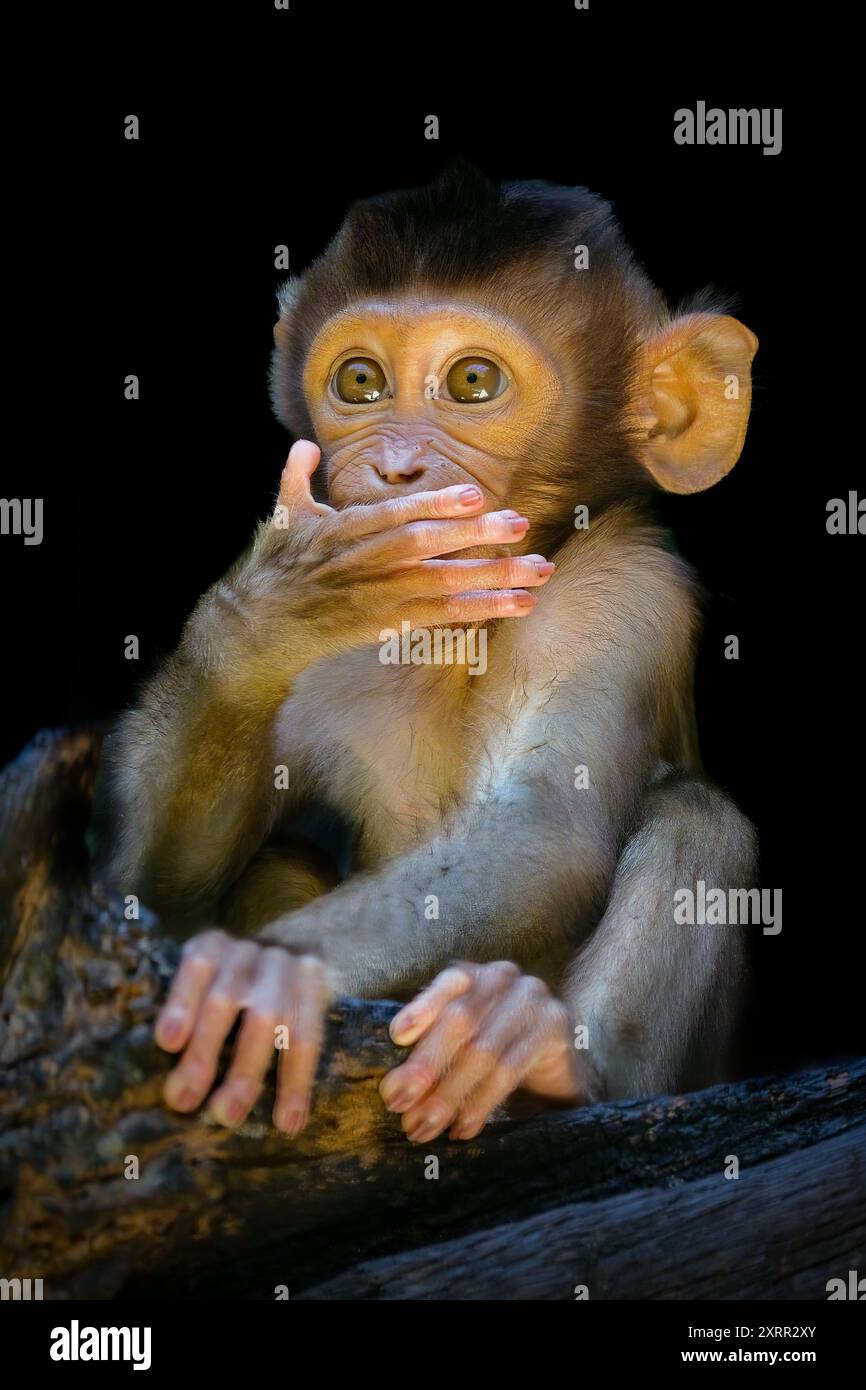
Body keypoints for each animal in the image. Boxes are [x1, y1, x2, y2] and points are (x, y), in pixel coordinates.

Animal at [98, 162, 758, 1143]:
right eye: (361, 381)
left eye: (473, 381)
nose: (394, 470)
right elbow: (159, 898)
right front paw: (274, 610)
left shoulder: (626, 589)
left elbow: (544, 833)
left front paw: (271, 971)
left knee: (696, 816)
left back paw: (544, 1059)